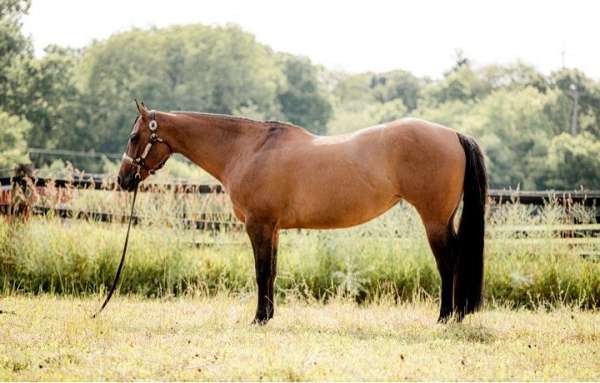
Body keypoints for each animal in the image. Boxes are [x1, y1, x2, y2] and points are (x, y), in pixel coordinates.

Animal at [118, 101, 488, 324]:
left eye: (135, 136)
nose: (123, 179)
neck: (248, 149)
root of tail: (453, 134)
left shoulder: (258, 226)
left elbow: (261, 272)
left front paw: (258, 318)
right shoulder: (273, 228)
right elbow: (272, 272)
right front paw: (268, 316)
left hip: (434, 221)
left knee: (448, 262)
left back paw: (446, 316)